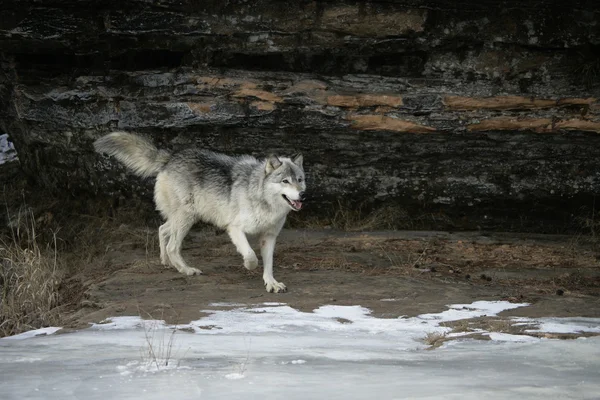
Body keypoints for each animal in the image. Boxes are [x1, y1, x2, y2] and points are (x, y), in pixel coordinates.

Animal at [97, 133, 310, 292]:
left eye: (299, 179)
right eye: (285, 181)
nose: (302, 195)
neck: (262, 198)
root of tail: (171, 157)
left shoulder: (269, 236)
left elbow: (269, 264)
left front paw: (271, 283)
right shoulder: (234, 228)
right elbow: (251, 255)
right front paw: (249, 266)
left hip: (184, 218)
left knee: (162, 230)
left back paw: (167, 262)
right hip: (186, 218)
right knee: (172, 245)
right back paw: (186, 270)